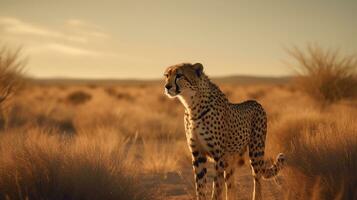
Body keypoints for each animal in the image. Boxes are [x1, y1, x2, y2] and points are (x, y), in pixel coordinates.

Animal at [163, 63, 284, 200]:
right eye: (167, 75)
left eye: (179, 75)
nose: (167, 87)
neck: (192, 105)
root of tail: (255, 102)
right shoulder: (198, 154)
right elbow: (200, 186)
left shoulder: (218, 156)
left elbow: (217, 187)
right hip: (231, 160)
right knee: (231, 186)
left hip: (255, 151)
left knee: (257, 180)